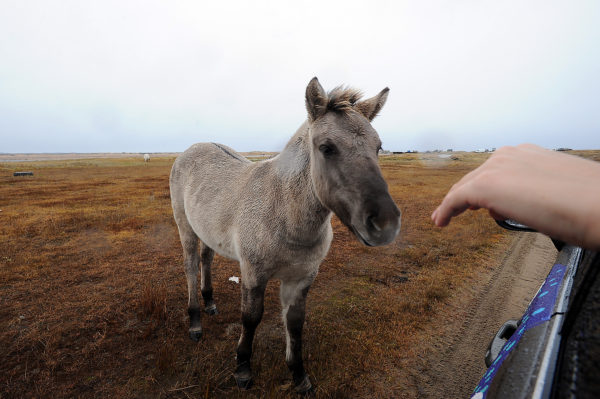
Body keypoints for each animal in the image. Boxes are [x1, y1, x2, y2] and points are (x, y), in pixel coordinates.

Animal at [170, 77, 404, 394]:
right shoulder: (253, 274)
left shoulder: (301, 278)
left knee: (206, 259)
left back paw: (209, 304)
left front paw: (299, 376)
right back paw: (195, 321)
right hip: (185, 228)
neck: (285, 215)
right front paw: (242, 369)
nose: (385, 223)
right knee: (192, 267)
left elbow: (294, 323)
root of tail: (192, 149)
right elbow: (251, 318)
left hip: (206, 230)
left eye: (378, 147)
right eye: (327, 147)